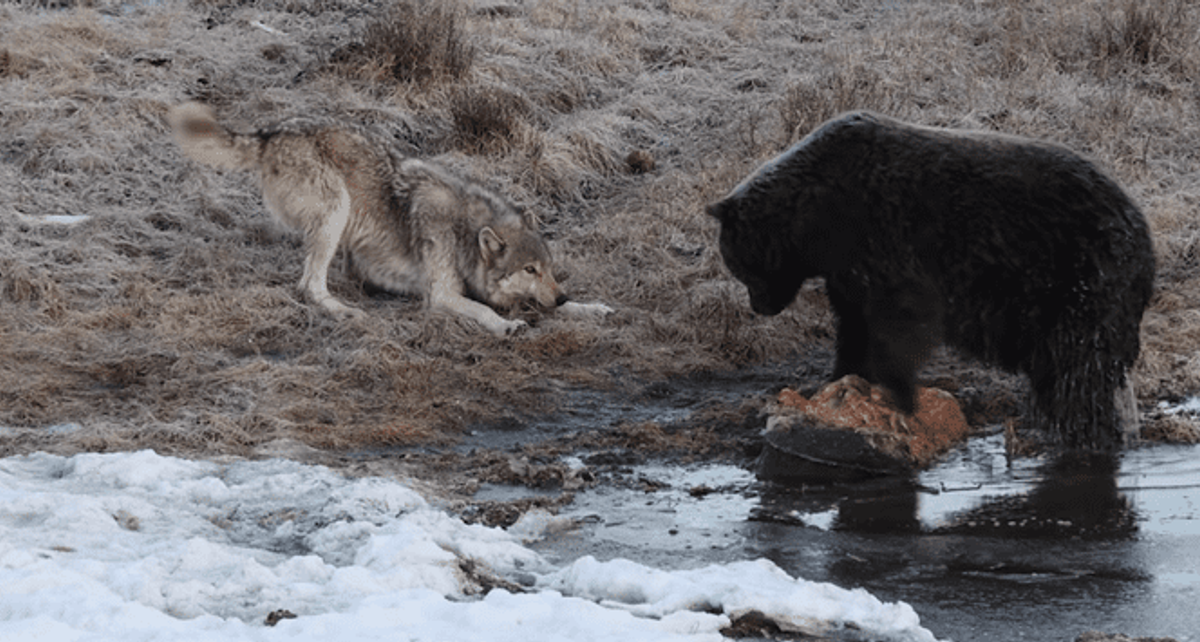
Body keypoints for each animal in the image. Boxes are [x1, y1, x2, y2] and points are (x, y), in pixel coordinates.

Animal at [168, 102, 610, 335]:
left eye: (548, 269)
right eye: (529, 269)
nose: (561, 294)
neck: (462, 231)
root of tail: (271, 132)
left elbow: (555, 306)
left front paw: (589, 307)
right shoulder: (442, 295)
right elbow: (484, 310)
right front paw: (505, 326)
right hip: (337, 209)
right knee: (308, 285)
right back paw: (345, 310)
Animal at [707, 111, 1155, 451]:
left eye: (740, 265)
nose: (760, 306)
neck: (816, 223)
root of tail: (1142, 234)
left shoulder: (884, 242)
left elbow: (892, 323)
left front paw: (893, 392)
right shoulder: (847, 271)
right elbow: (853, 323)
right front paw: (839, 376)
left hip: (1077, 278)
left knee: (1078, 370)